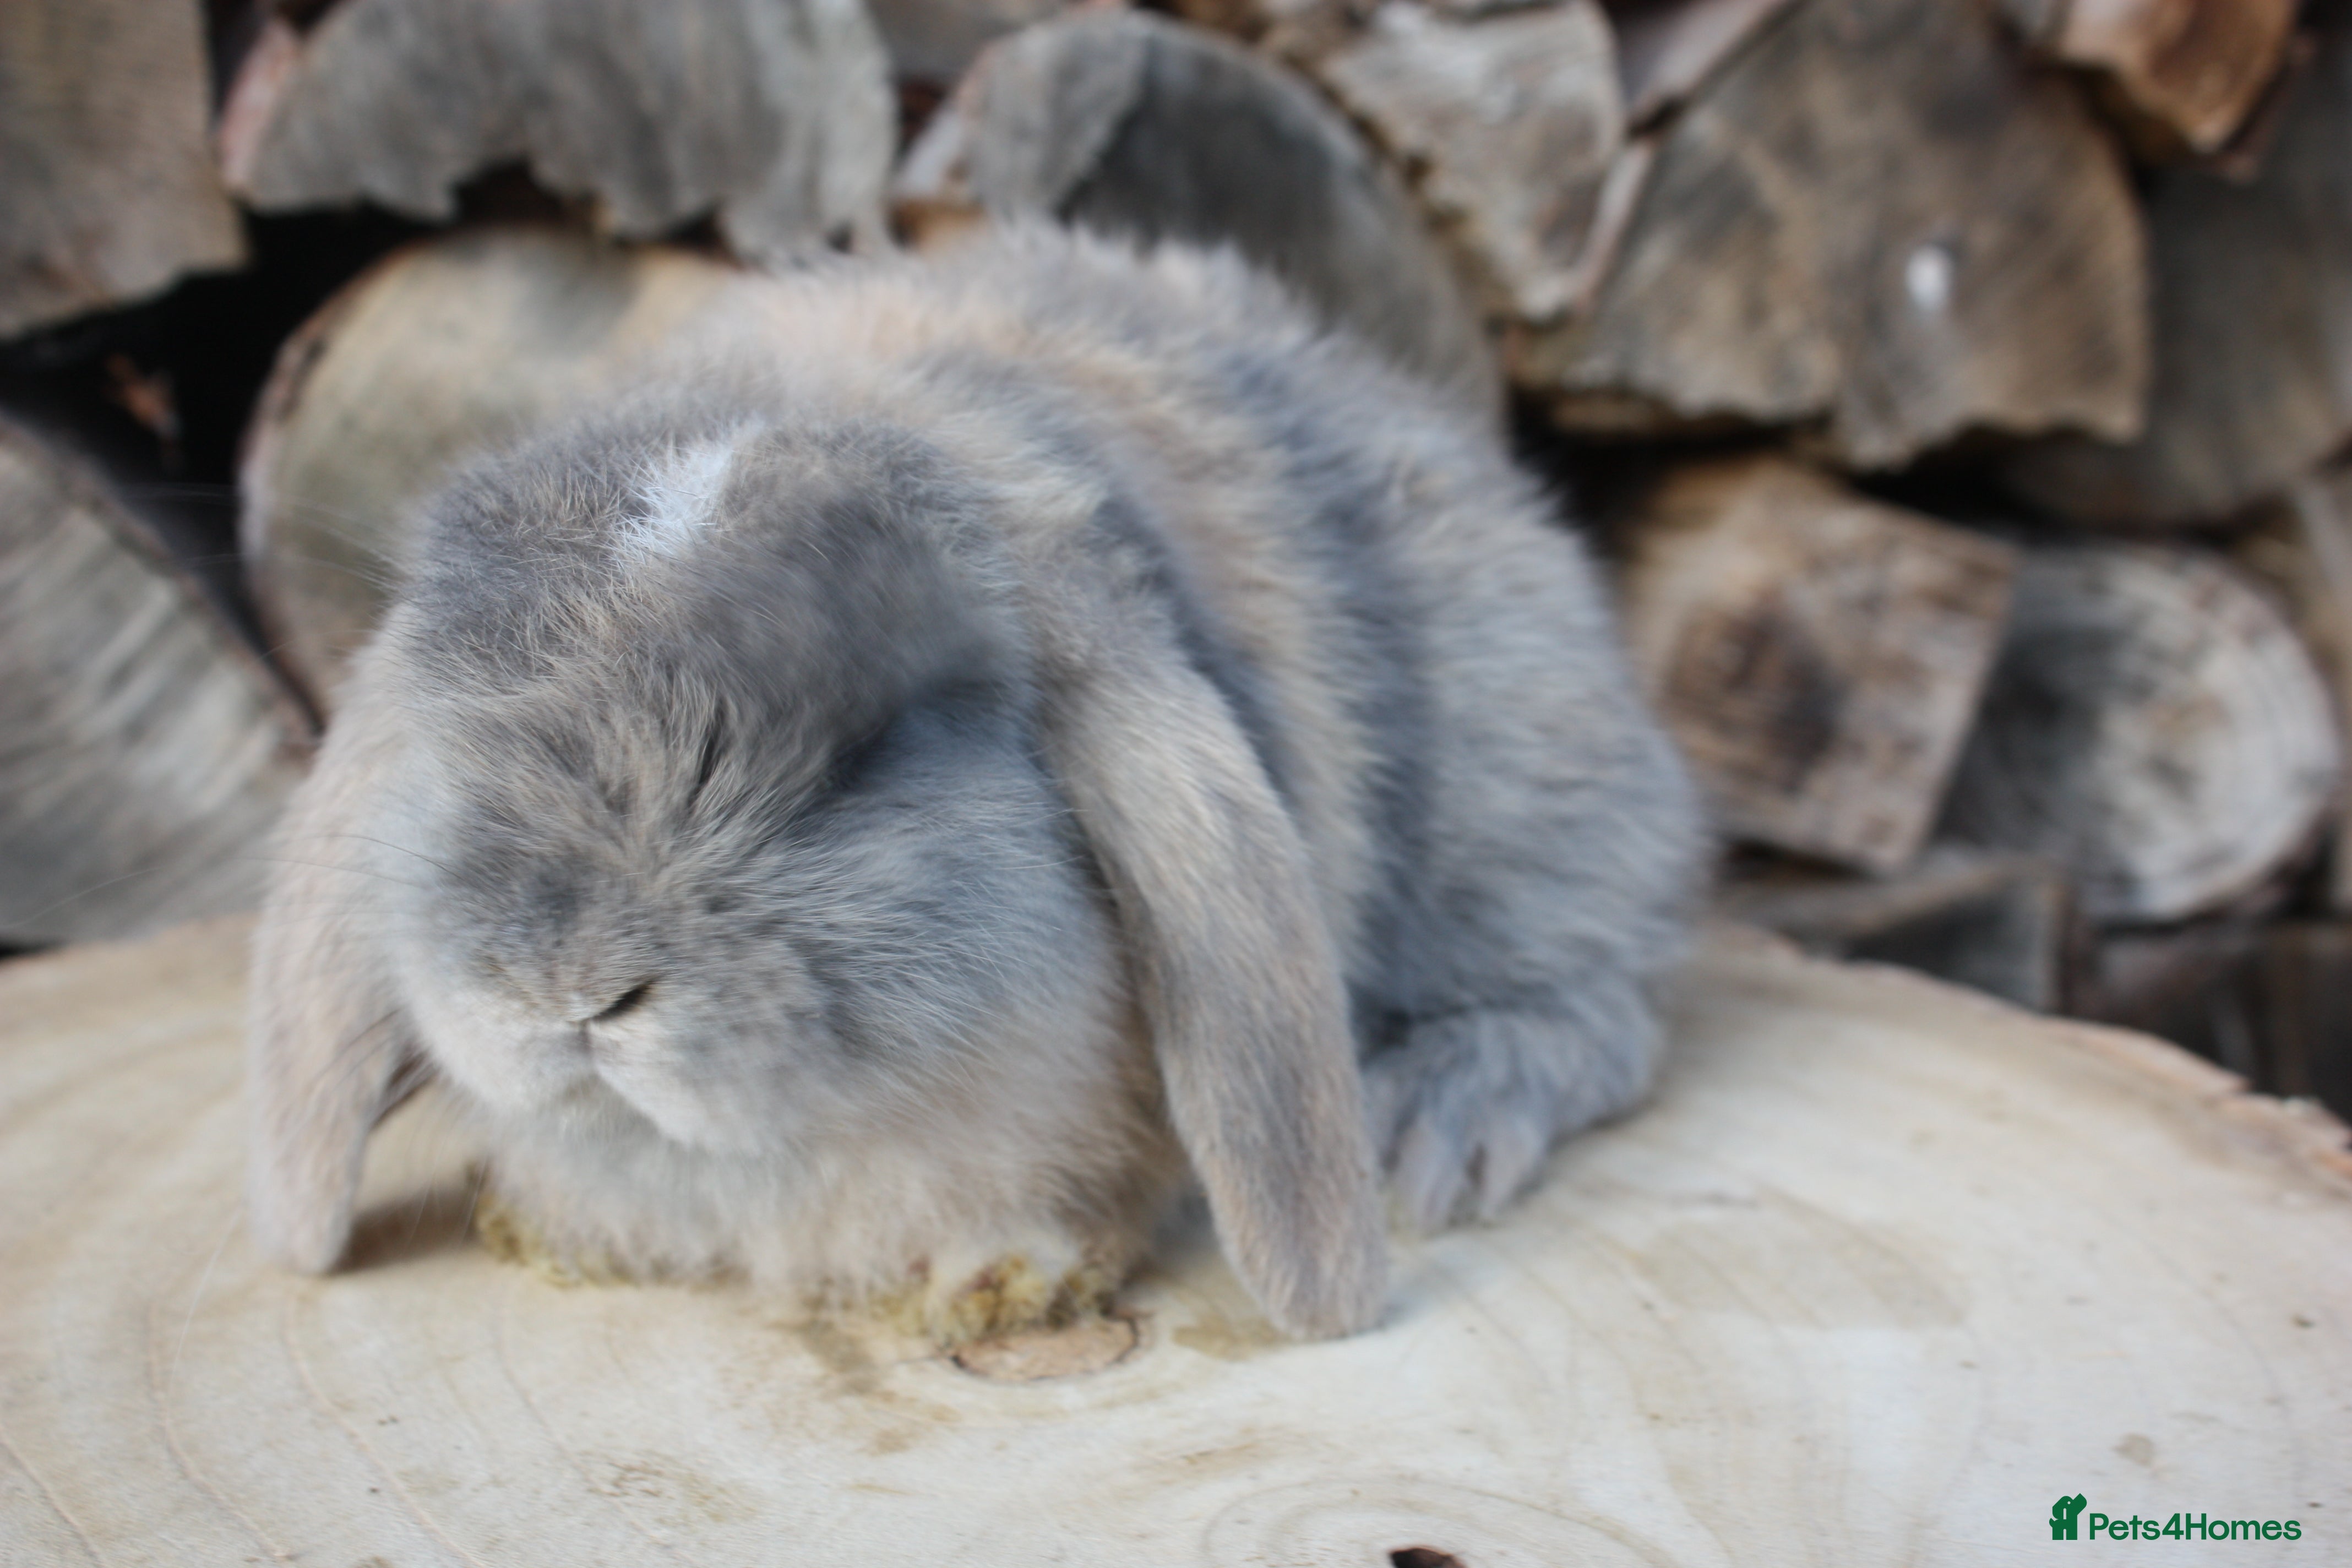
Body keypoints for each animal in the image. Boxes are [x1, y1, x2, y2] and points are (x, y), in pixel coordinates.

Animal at [246, 224, 1705, 1343]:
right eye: (460, 714)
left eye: (871, 751)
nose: (561, 981)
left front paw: (1003, 1271)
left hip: (1521, 813)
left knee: (1601, 1008)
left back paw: (1435, 1126)